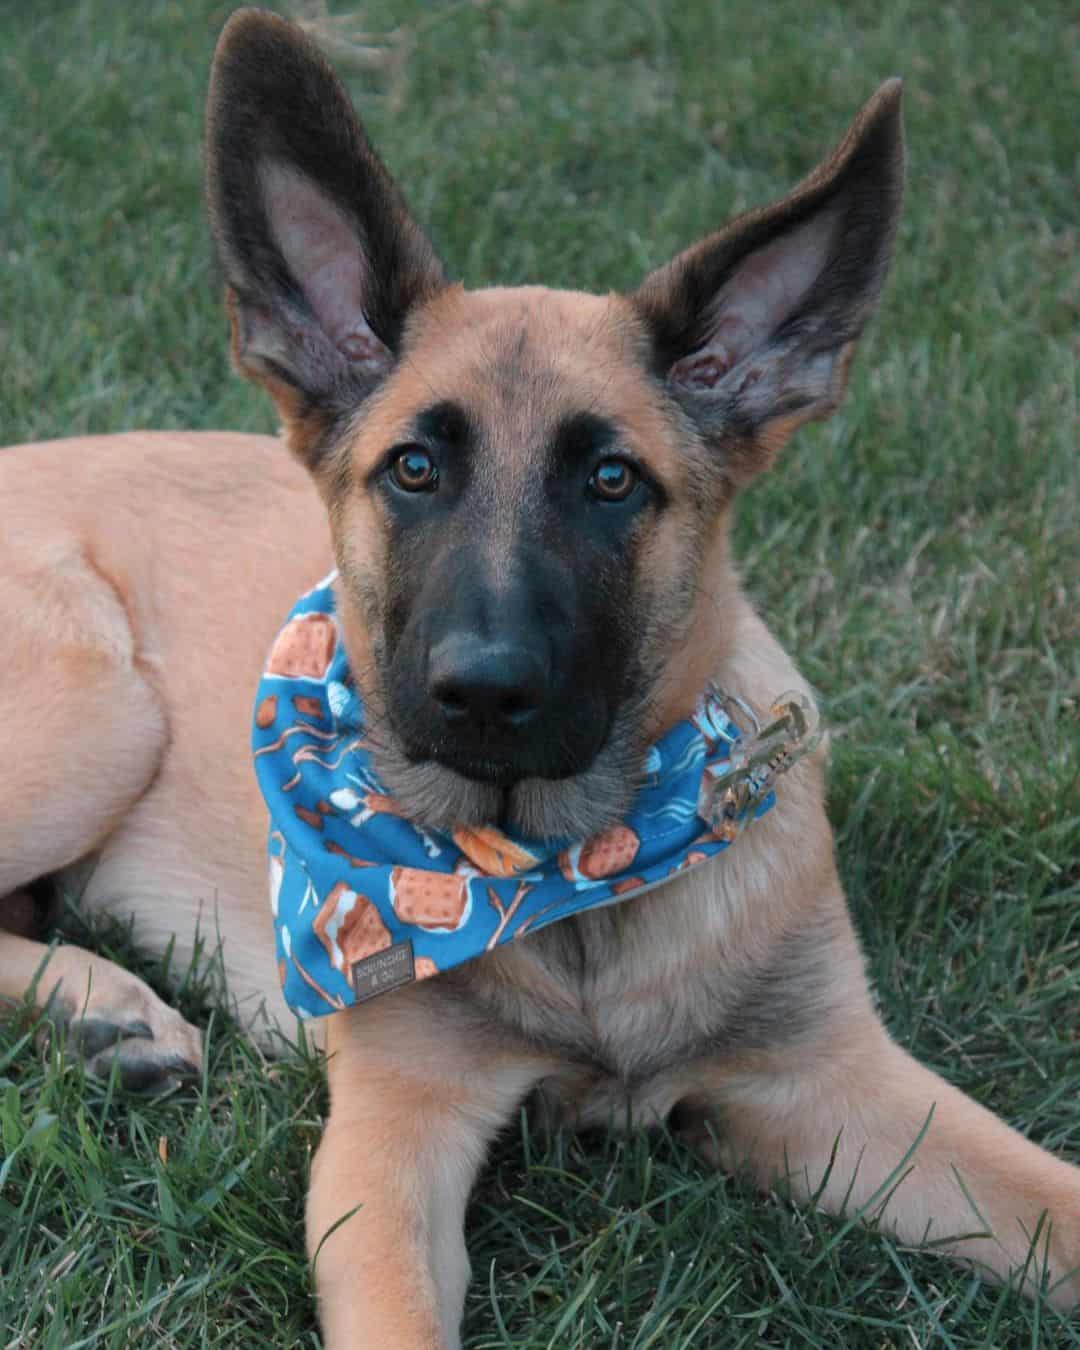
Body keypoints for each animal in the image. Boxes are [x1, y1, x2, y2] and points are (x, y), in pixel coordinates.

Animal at [0, 7, 1074, 1339]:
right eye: (414, 469)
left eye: (611, 481)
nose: (482, 694)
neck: (569, 882)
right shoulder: (391, 1141)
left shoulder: (836, 1081)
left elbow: (1051, 1202)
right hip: (104, 713)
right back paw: (101, 1007)